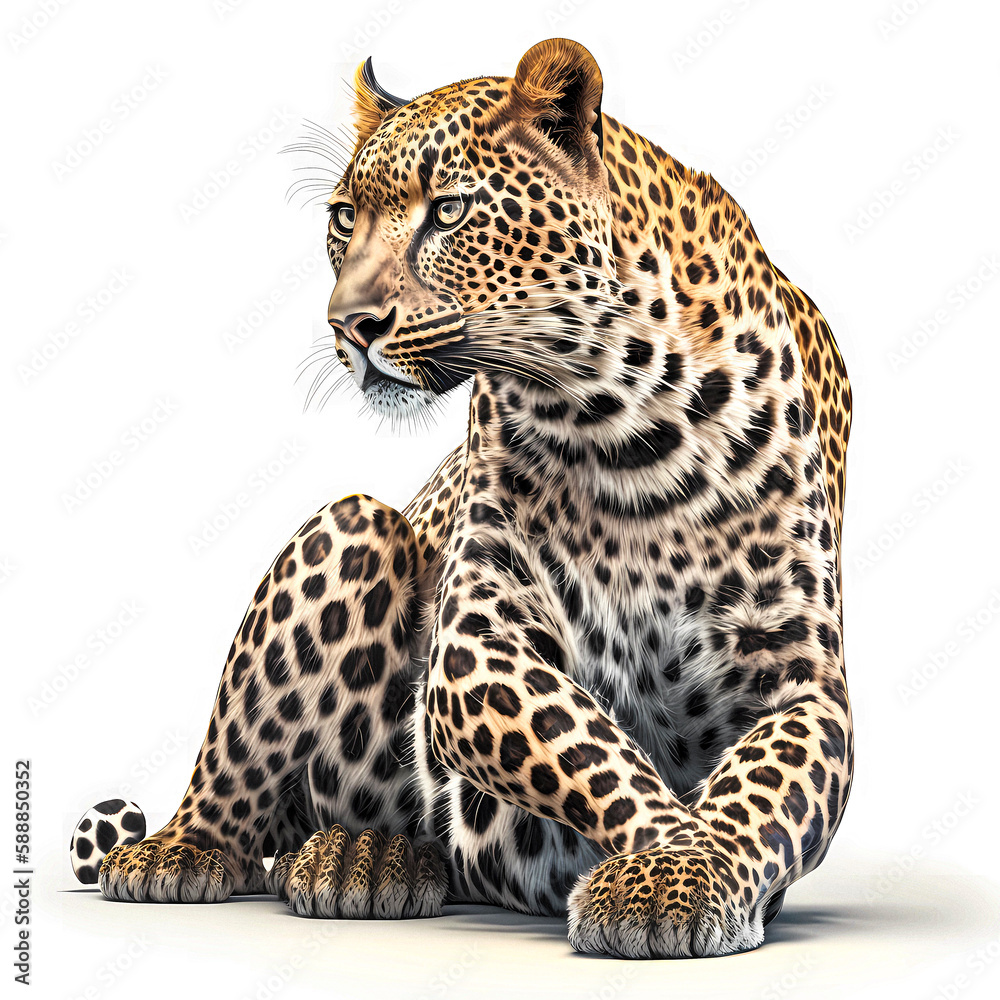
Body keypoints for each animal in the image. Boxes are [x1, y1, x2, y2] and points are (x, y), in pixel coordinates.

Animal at [95, 38, 853, 959]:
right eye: (344, 218)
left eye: (450, 211)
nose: (348, 325)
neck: (631, 422)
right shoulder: (474, 643)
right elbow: (594, 750)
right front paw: (670, 874)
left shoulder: (800, 678)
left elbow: (761, 789)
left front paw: (683, 878)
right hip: (350, 530)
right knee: (239, 785)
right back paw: (223, 852)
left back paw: (370, 862)